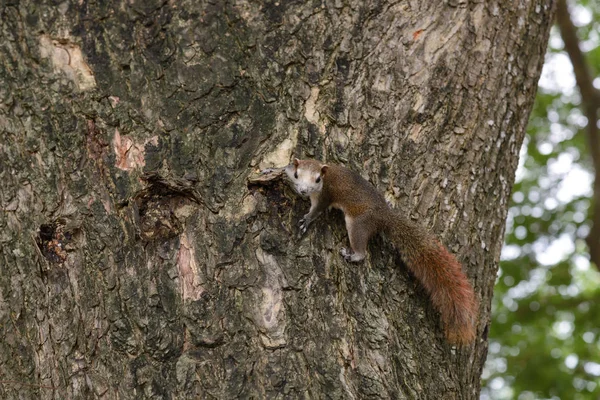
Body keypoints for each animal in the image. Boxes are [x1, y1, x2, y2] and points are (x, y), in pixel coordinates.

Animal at [284, 158, 478, 346]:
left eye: (317, 180)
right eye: (297, 174)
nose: (303, 191)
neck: (325, 176)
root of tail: (384, 216)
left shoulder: (325, 196)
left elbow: (316, 211)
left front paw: (306, 220)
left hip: (358, 224)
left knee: (361, 251)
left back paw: (352, 255)